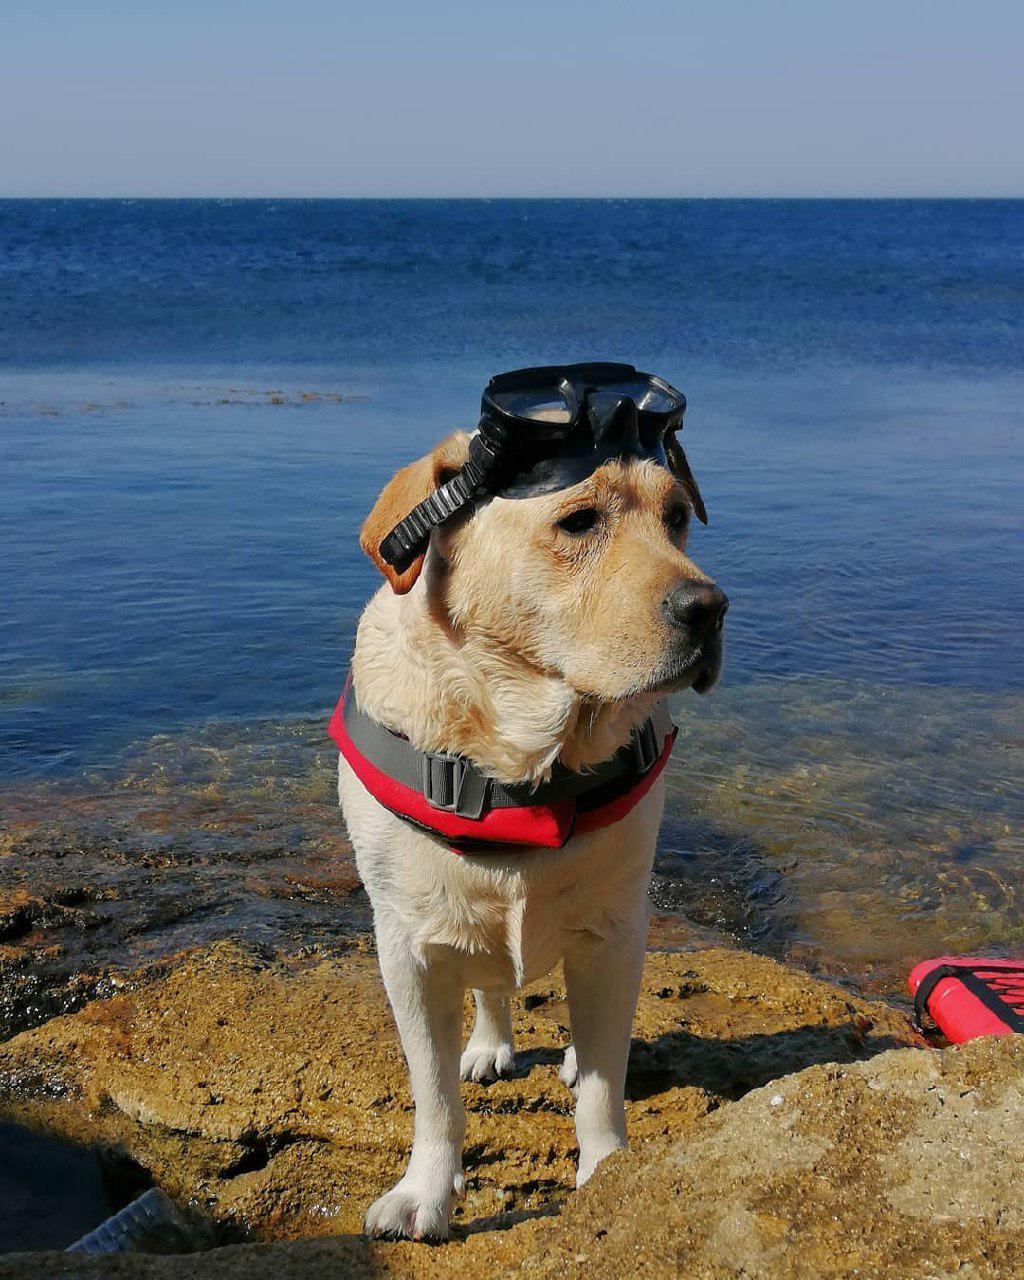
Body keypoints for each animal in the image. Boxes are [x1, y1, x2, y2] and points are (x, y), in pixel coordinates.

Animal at [337, 424, 726, 1241]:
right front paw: (426, 1191)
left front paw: (608, 1167)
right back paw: (488, 1044)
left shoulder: (616, 930)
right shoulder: (405, 948)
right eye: (578, 522)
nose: (711, 608)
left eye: (677, 516)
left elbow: (605, 1083)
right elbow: (434, 1096)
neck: (520, 761)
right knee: (490, 983)